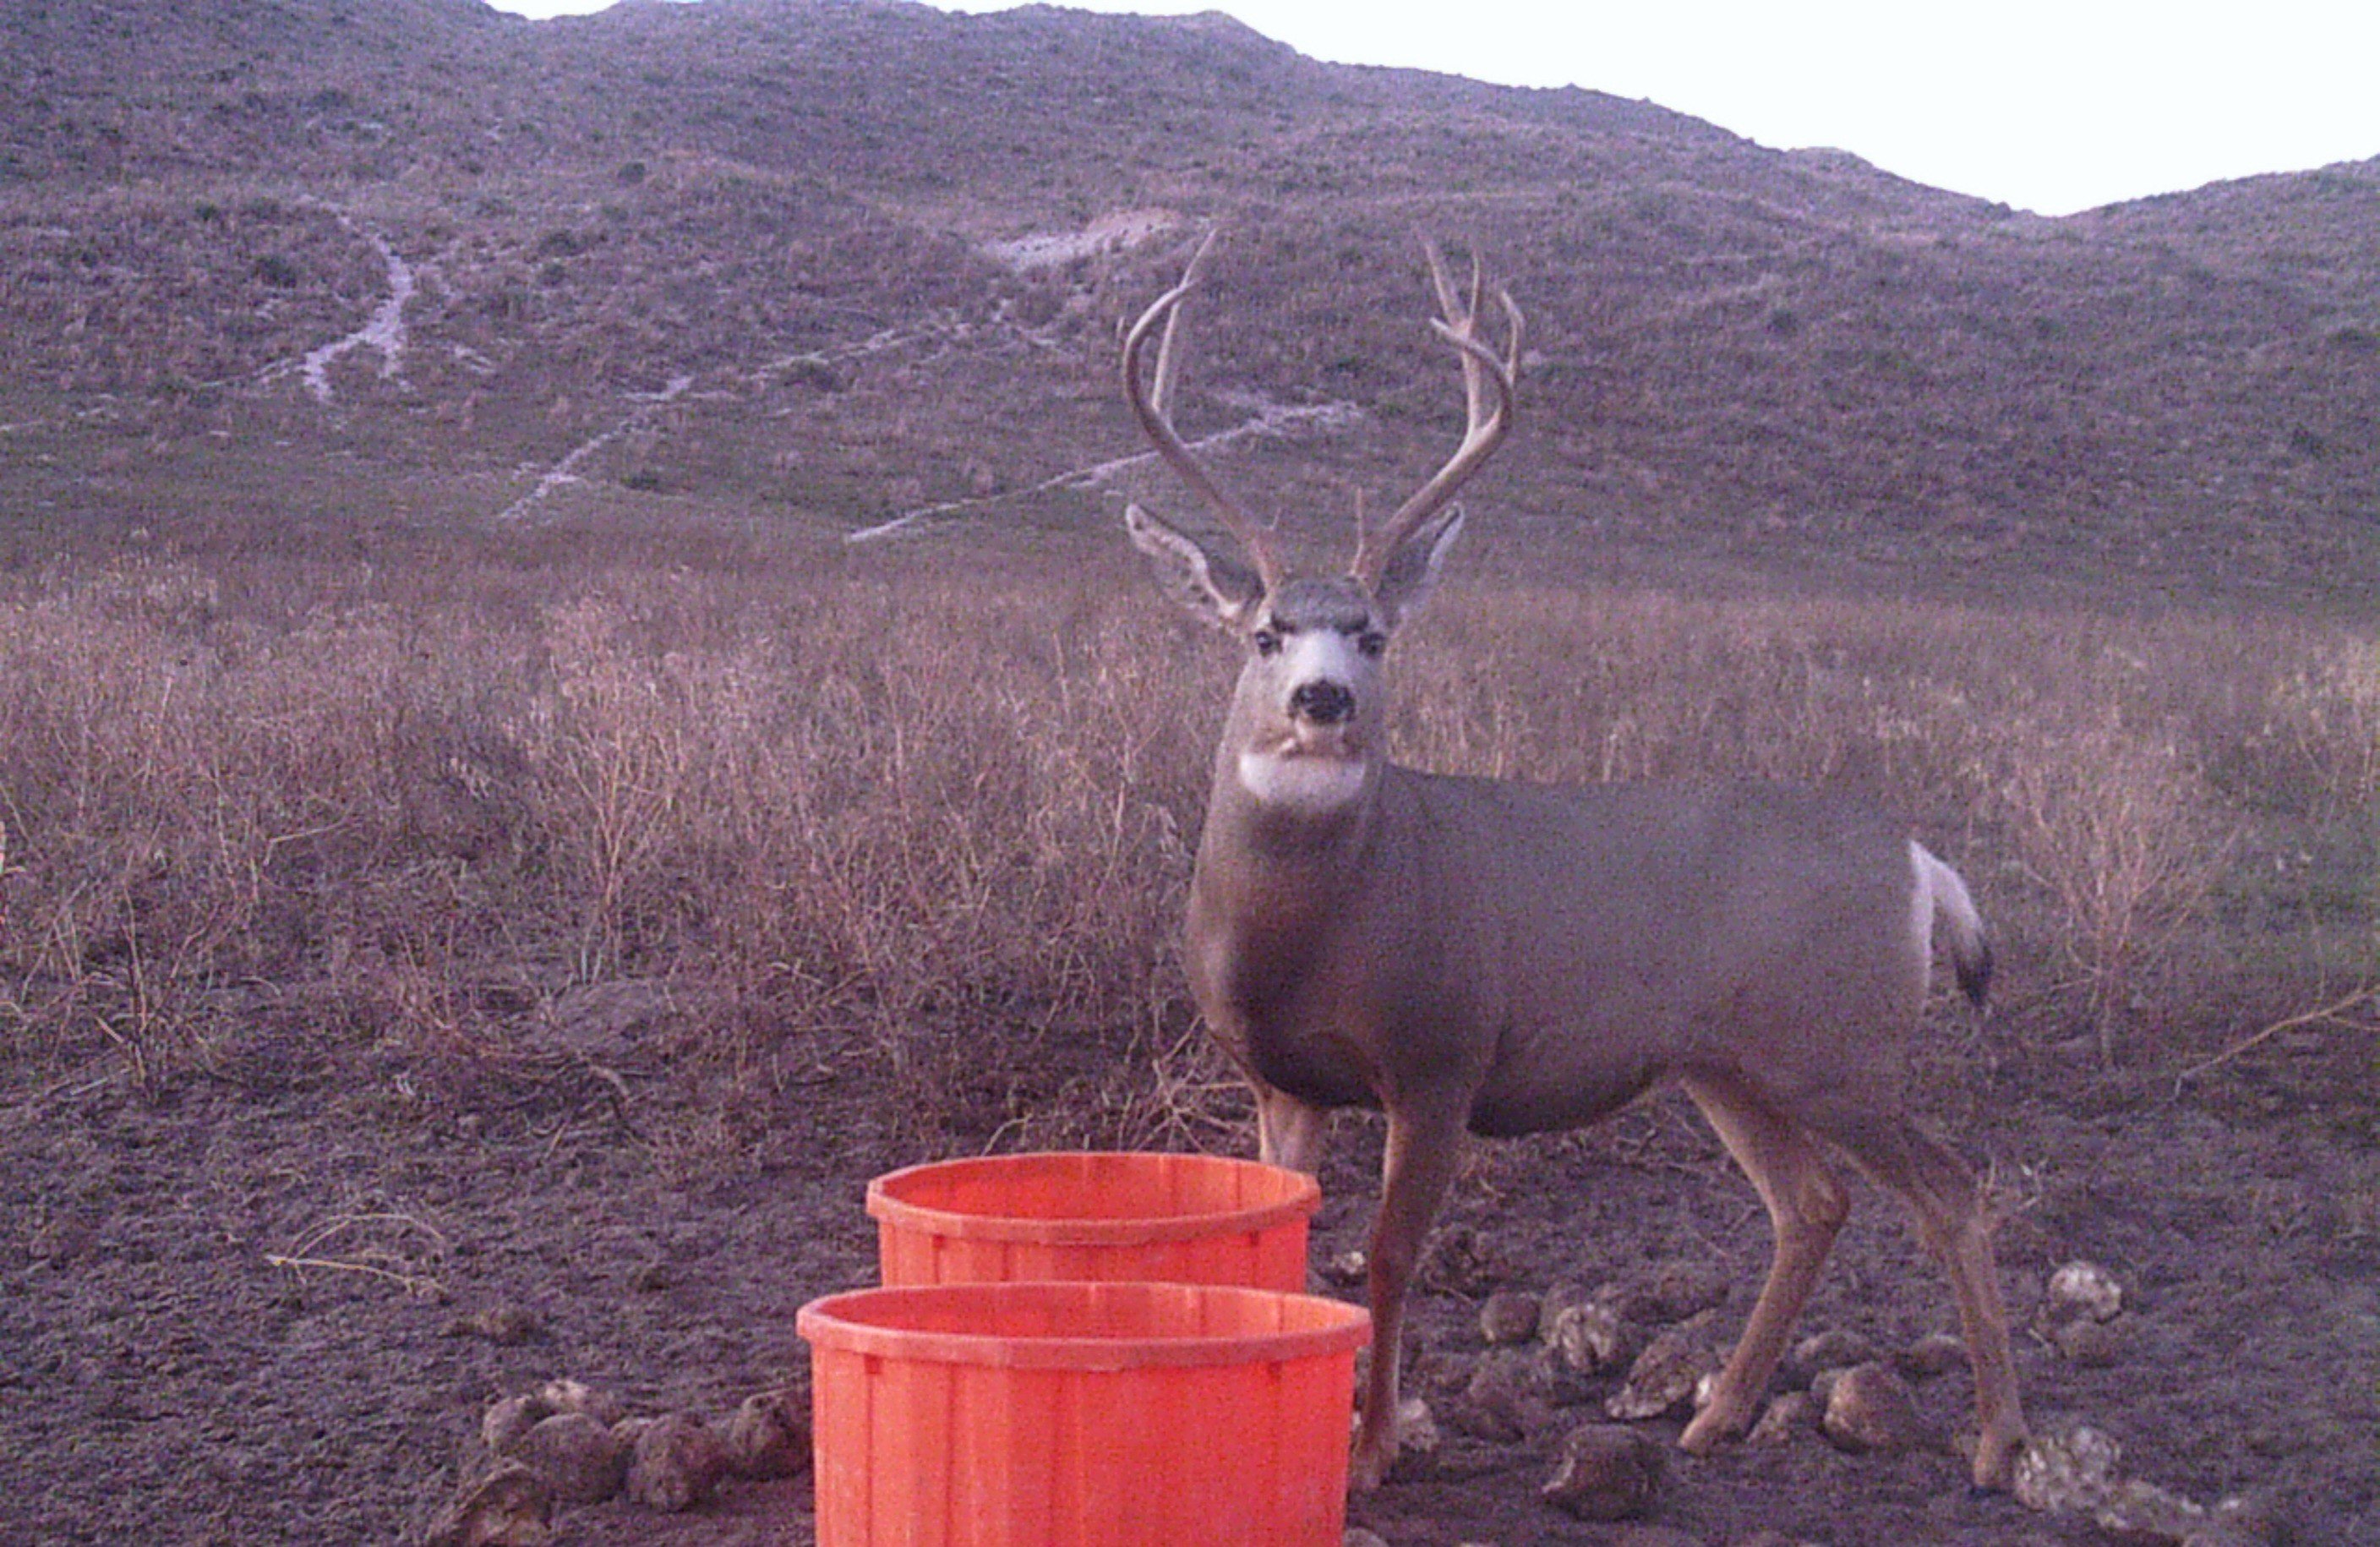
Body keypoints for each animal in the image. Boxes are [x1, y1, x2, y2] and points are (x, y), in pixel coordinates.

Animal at [1117, 234, 2030, 1493]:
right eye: (1263, 633)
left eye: (1374, 635)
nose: (1322, 699)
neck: (1317, 933)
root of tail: (1919, 862)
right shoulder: (1281, 1079)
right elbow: (1284, 1260)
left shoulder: (1442, 1054)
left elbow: (1389, 1256)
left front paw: (1375, 1448)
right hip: (1727, 1063)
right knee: (1814, 1202)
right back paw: (1716, 1415)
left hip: (1840, 1046)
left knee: (1951, 1190)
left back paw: (1996, 1442)